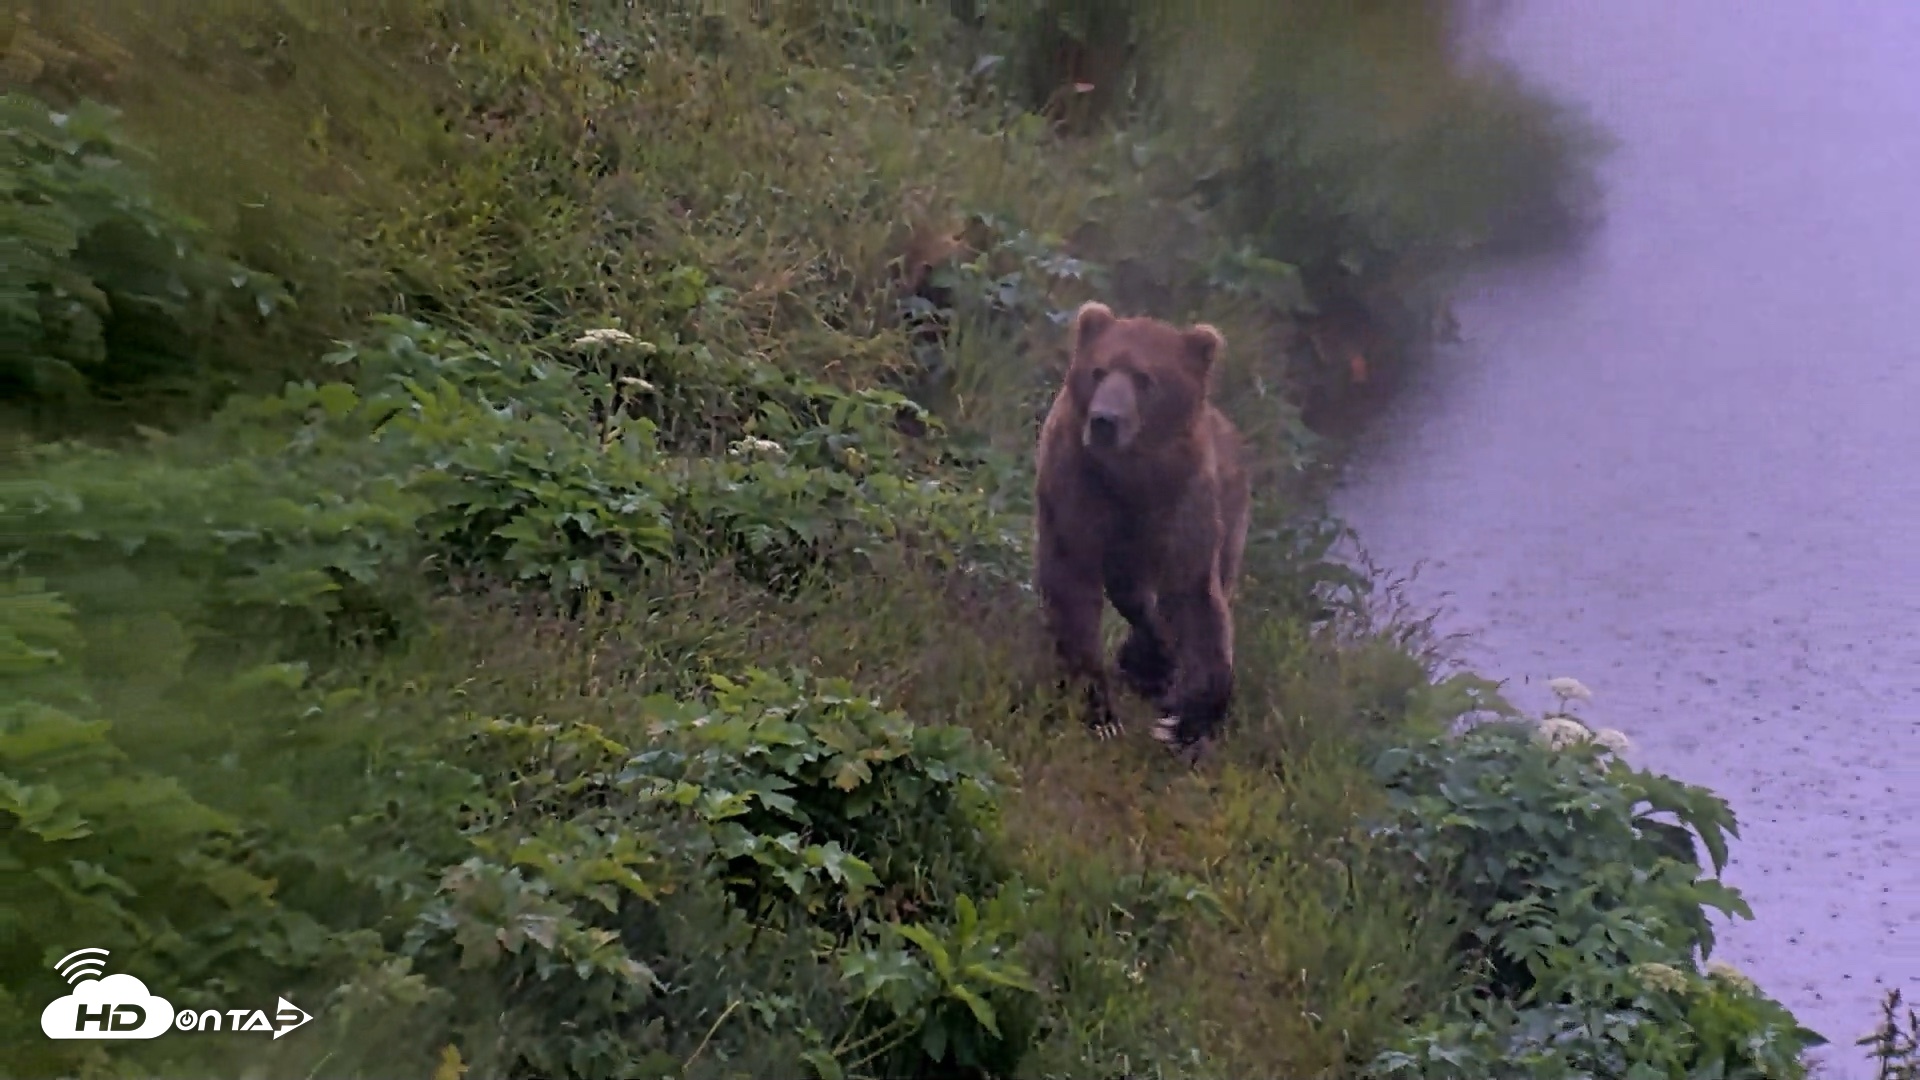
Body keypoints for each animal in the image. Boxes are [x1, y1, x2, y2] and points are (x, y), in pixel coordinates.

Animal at [1032, 300, 1252, 760]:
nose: (1104, 420)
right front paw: (1097, 709)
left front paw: (1184, 723)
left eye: (1145, 378)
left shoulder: (1182, 506)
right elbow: (1071, 583)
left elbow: (1195, 600)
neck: (1132, 479)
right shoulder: (1077, 490)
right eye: (1098, 370)